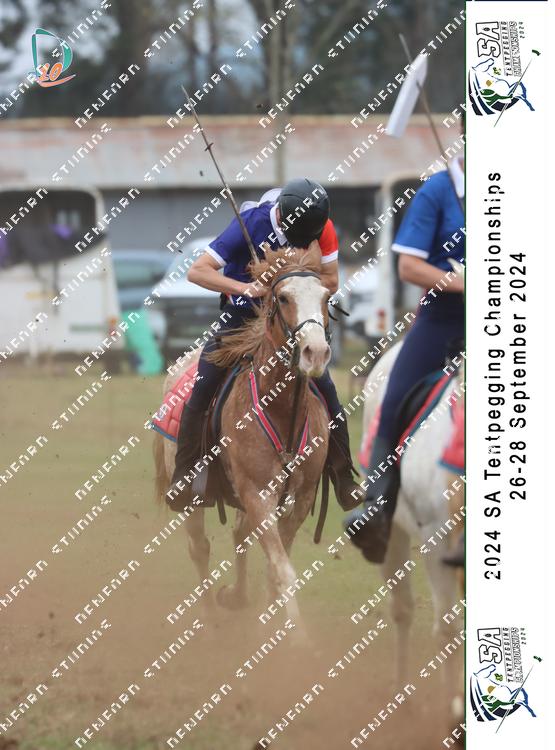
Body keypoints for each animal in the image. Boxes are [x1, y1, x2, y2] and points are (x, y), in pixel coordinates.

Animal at [153, 247, 331, 639]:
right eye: (283, 298)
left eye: (326, 297)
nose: (315, 352)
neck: (280, 408)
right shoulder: (257, 494)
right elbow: (282, 568)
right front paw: (298, 639)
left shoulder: (299, 498)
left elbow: (275, 564)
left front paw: (272, 624)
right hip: (191, 493)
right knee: (199, 547)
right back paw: (209, 617)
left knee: (238, 536)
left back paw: (236, 597)